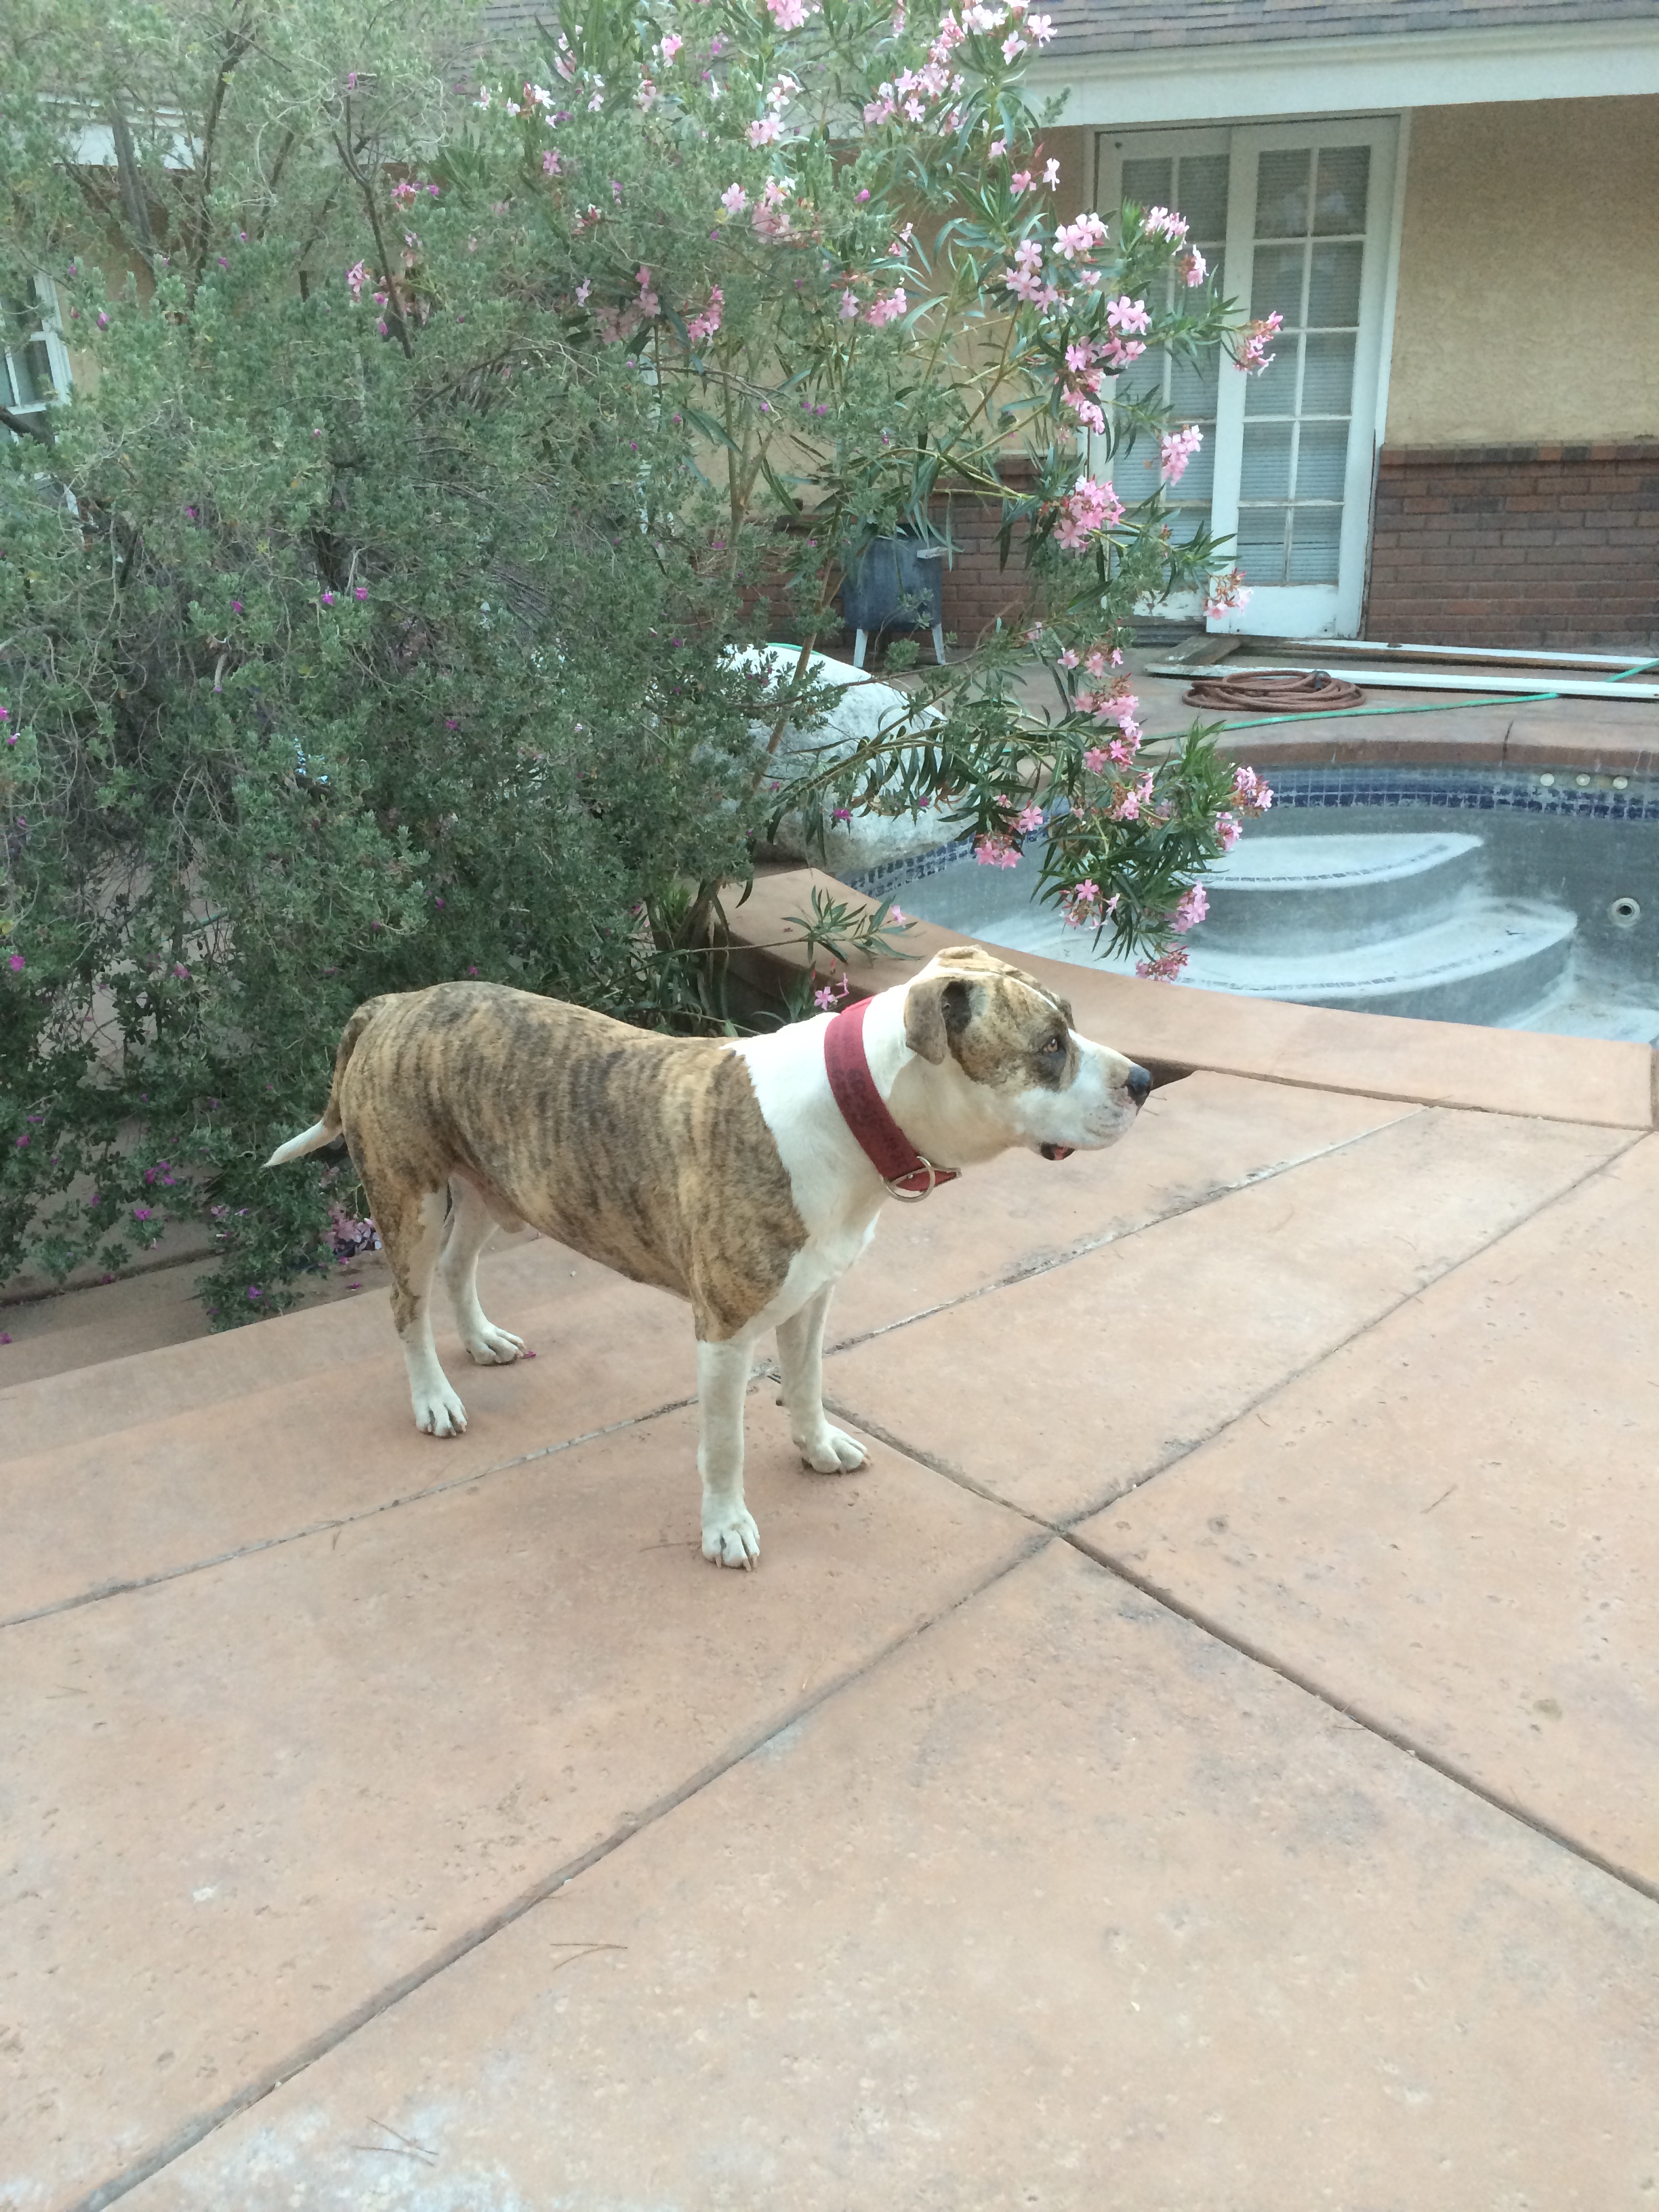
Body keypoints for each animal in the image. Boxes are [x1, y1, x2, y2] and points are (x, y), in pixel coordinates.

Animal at [266, 946, 1151, 1566]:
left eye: (1071, 1025)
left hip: (497, 1188)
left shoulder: (813, 1296)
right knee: (406, 1303)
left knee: (458, 1266)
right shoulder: (724, 1330)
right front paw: (726, 1528)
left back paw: (482, 1340)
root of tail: (396, 1002)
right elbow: (725, 1443)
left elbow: (807, 1385)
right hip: (408, 1198)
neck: (852, 1106)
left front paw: (817, 1447)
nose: (1143, 1079)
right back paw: (433, 1398)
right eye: (1050, 1046)